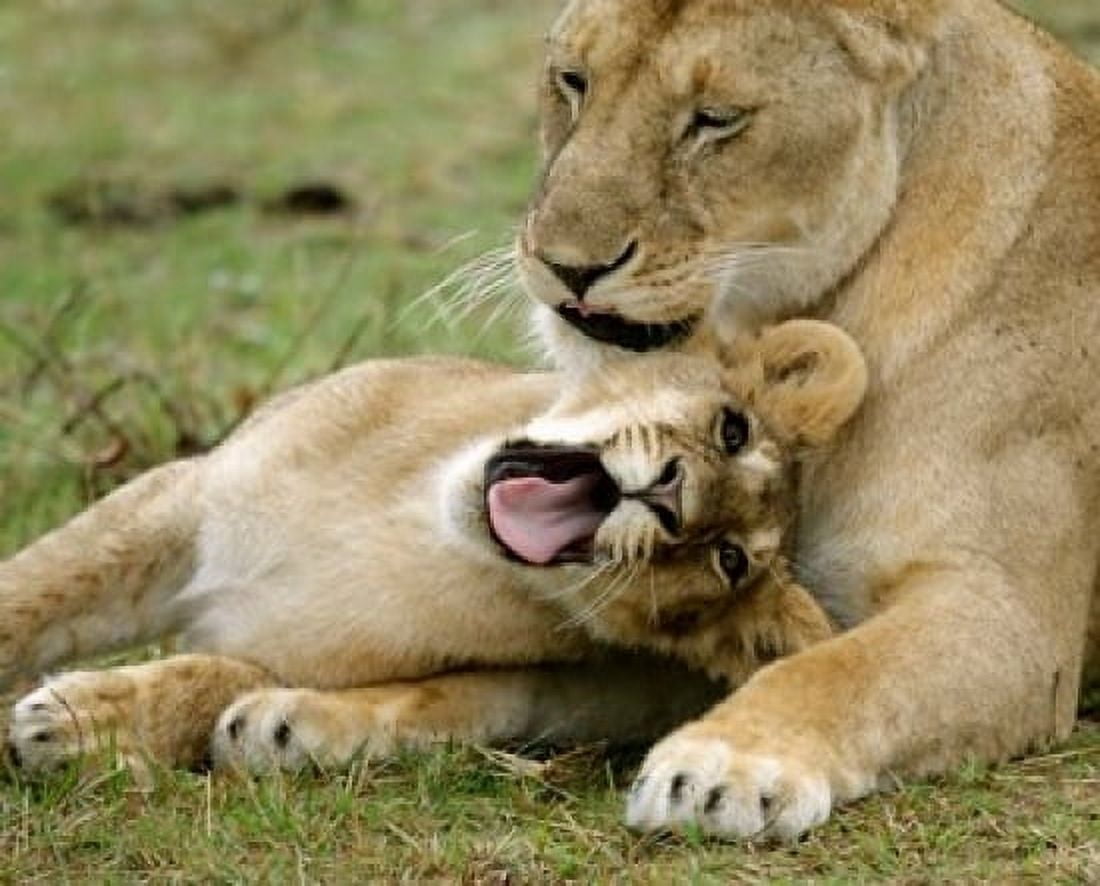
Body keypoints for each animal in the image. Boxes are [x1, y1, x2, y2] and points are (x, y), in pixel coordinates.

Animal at [2, 320, 865, 777]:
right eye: (732, 428)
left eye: (729, 560)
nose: (671, 496)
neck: (409, 518)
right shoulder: (185, 493)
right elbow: (34, 589)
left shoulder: (279, 644)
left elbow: (212, 675)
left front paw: (77, 717)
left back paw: (278, 730)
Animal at [508, 0, 1100, 840]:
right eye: (572, 81)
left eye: (715, 120)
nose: (566, 266)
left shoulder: (1012, 616)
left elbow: (848, 670)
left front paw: (723, 762)